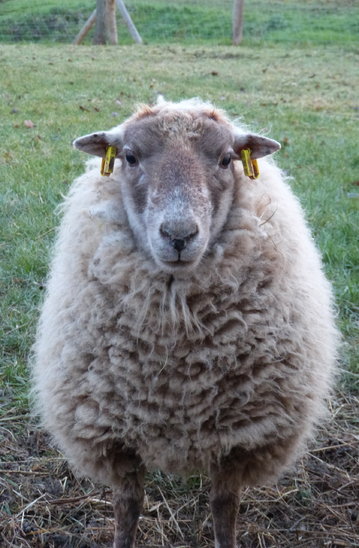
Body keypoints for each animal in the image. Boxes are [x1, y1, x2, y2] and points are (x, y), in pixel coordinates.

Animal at [32, 99, 338, 548]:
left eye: (227, 159)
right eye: (129, 157)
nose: (179, 235)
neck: (177, 368)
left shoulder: (240, 441)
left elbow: (224, 509)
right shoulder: (114, 439)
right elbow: (128, 508)